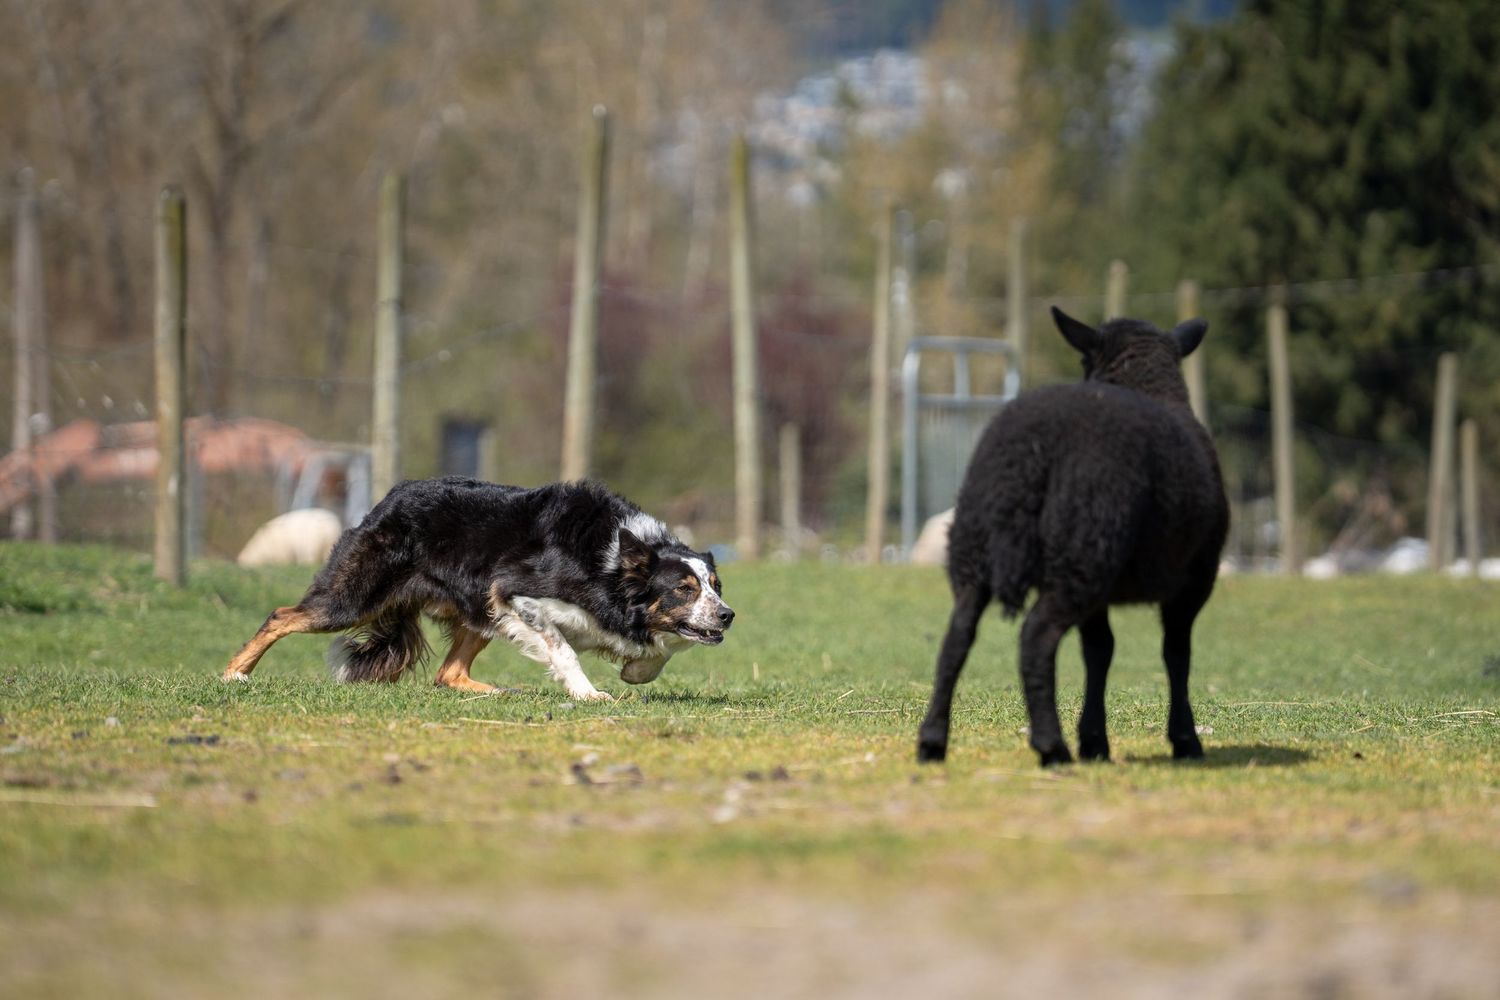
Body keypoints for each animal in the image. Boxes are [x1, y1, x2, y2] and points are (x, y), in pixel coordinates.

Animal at [917, 307, 1228, 767]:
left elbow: (1099, 650)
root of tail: (1029, 456)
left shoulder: (1104, 592)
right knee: (1036, 638)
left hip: (985, 552)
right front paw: (1184, 740)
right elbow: (1176, 653)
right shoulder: (1194, 579)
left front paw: (1094, 740)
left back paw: (932, 742)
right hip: (1085, 549)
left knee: (957, 638)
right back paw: (1052, 746)